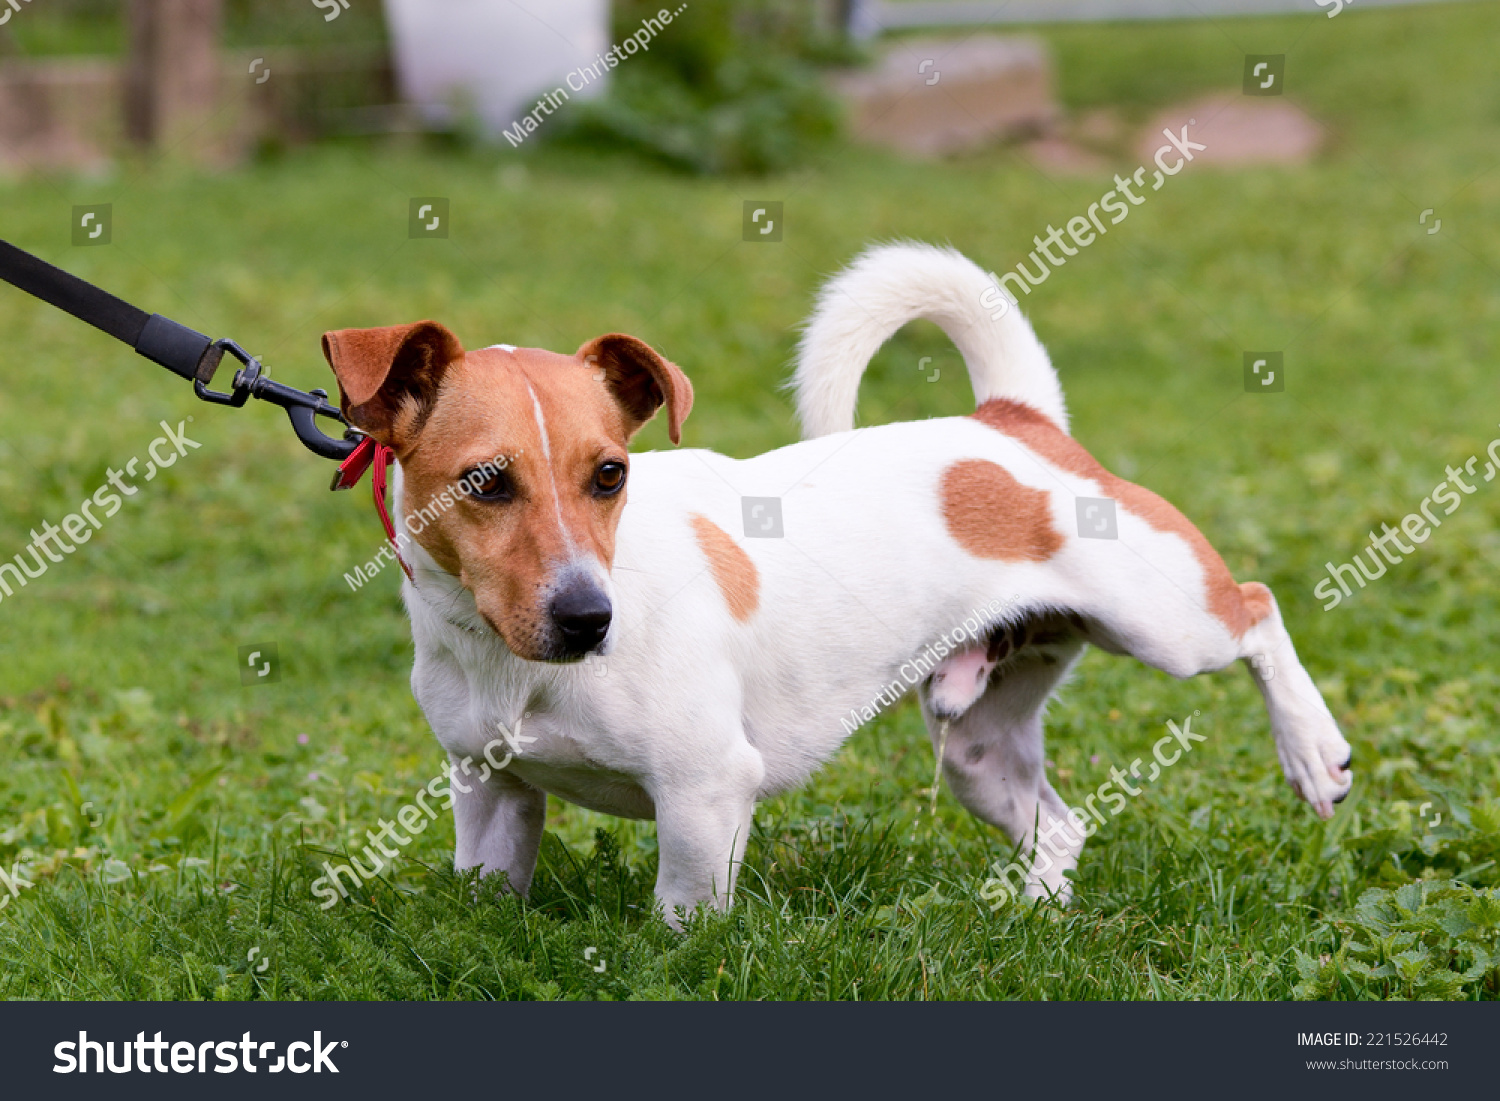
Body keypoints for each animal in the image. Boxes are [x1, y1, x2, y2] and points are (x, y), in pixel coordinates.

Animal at [322, 241, 1356, 924]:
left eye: (610, 473)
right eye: (484, 483)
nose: (588, 619)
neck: (504, 660)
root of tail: (1012, 420)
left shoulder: (705, 793)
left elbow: (680, 920)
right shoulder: (491, 795)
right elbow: (489, 893)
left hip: (1166, 623)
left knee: (1258, 610)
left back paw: (1312, 749)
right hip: (979, 748)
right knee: (1057, 830)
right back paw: (1037, 921)